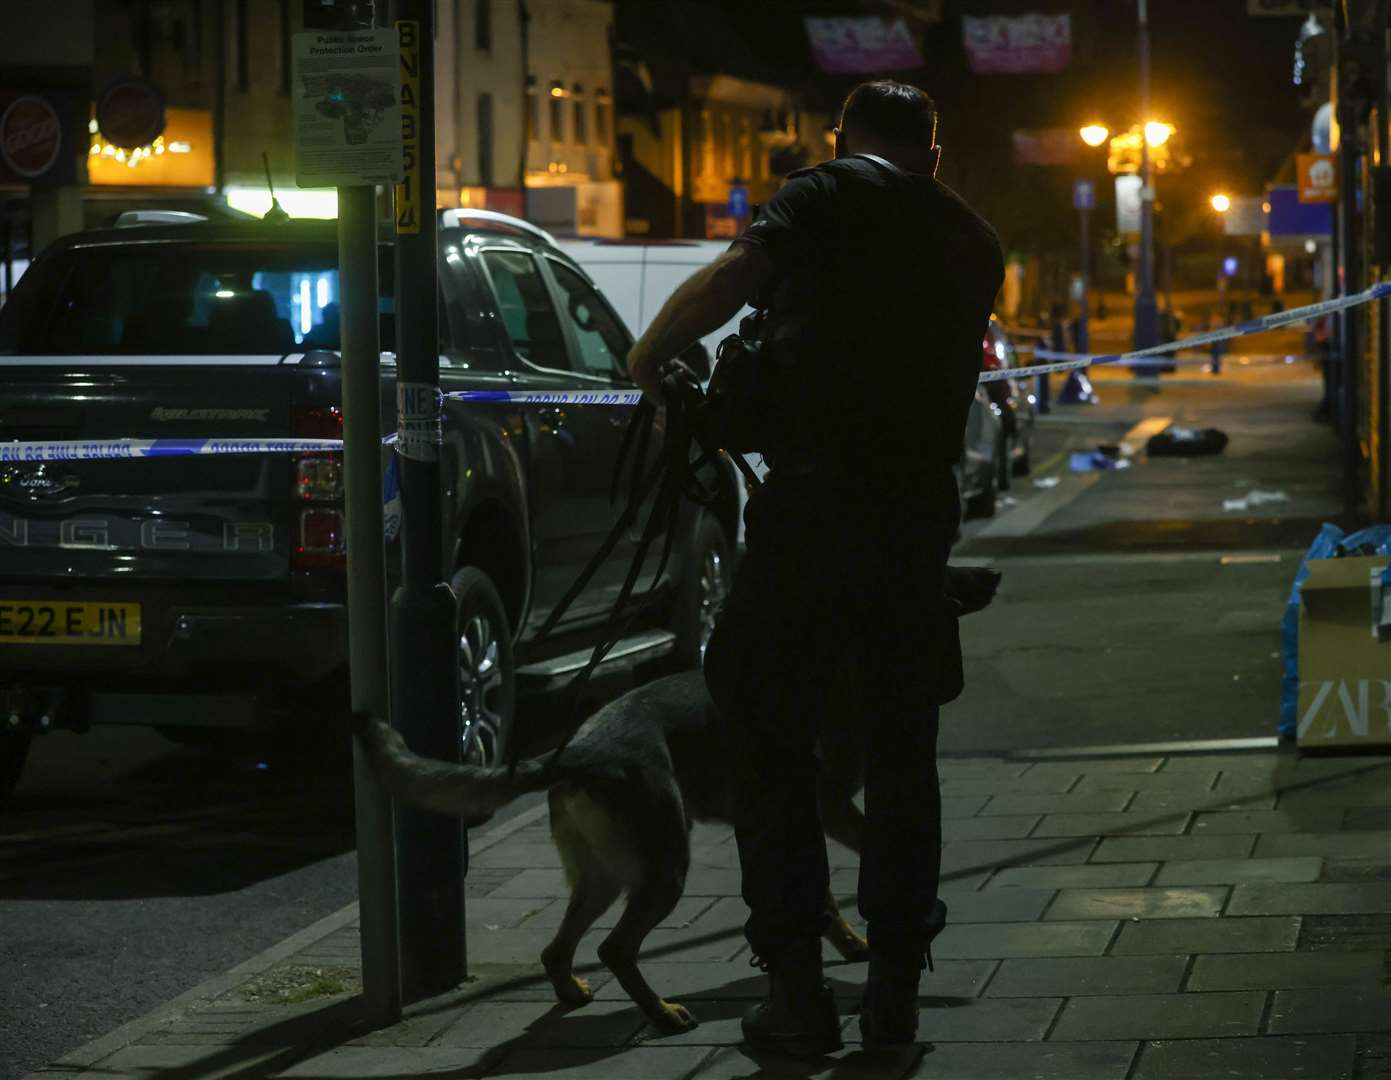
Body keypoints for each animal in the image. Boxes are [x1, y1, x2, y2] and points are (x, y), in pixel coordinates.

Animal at [358, 565, 1001, 1029]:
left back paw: (574, 993)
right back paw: (662, 1015)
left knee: (560, 949)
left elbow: (820, 899)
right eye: (941, 563)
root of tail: (574, 753)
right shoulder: (827, 807)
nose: (991, 574)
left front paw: (843, 942)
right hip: (664, 868)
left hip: (605, 876)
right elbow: (861, 858)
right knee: (616, 948)